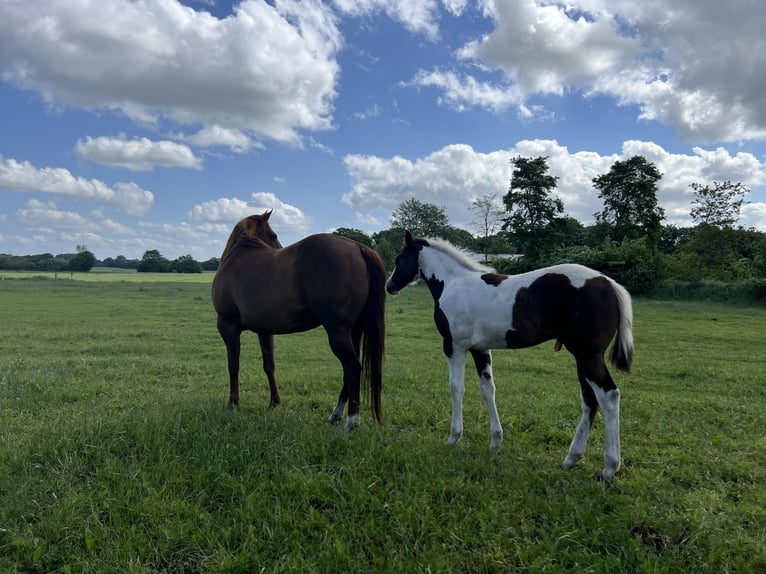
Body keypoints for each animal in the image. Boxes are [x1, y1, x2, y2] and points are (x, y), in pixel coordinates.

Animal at [213, 212, 388, 432]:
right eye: (273, 235)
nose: (279, 247)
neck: (237, 257)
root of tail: (358, 247)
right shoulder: (264, 330)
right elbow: (269, 365)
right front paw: (274, 403)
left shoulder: (228, 327)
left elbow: (233, 366)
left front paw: (233, 403)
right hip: (354, 331)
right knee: (349, 372)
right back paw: (335, 415)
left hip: (338, 332)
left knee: (353, 368)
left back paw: (351, 422)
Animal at [390, 232, 636, 484]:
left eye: (399, 259)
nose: (390, 286)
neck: (454, 283)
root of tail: (609, 283)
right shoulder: (480, 349)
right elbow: (488, 390)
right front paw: (495, 442)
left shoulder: (454, 347)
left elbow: (456, 388)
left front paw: (454, 437)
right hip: (580, 357)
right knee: (589, 399)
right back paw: (571, 459)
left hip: (588, 356)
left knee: (609, 396)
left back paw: (609, 469)